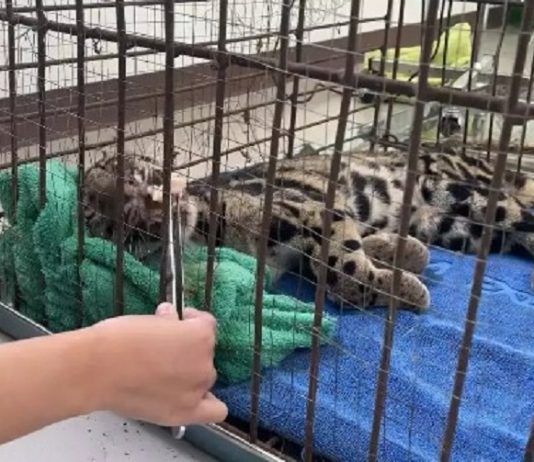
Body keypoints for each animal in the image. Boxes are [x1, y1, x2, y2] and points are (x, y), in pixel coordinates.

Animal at [82, 143, 534, 312]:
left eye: (131, 171)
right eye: (108, 223)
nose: (142, 201)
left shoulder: (313, 210)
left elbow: (340, 268)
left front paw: (404, 282)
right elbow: (337, 267)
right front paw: (404, 264)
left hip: (457, 192)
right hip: (453, 225)